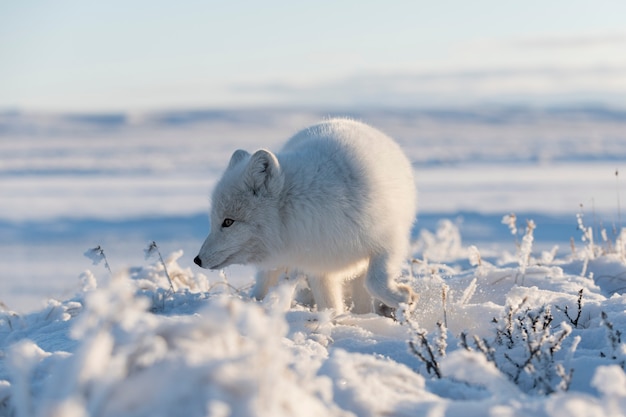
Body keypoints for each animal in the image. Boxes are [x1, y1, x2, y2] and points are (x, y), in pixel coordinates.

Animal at [194, 118, 420, 314]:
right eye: (215, 221)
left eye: (228, 222)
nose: (197, 260)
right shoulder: (319, 267)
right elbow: (330, 307)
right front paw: (334, 323)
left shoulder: (390, 242)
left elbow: (375, 281)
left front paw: (403, 298)